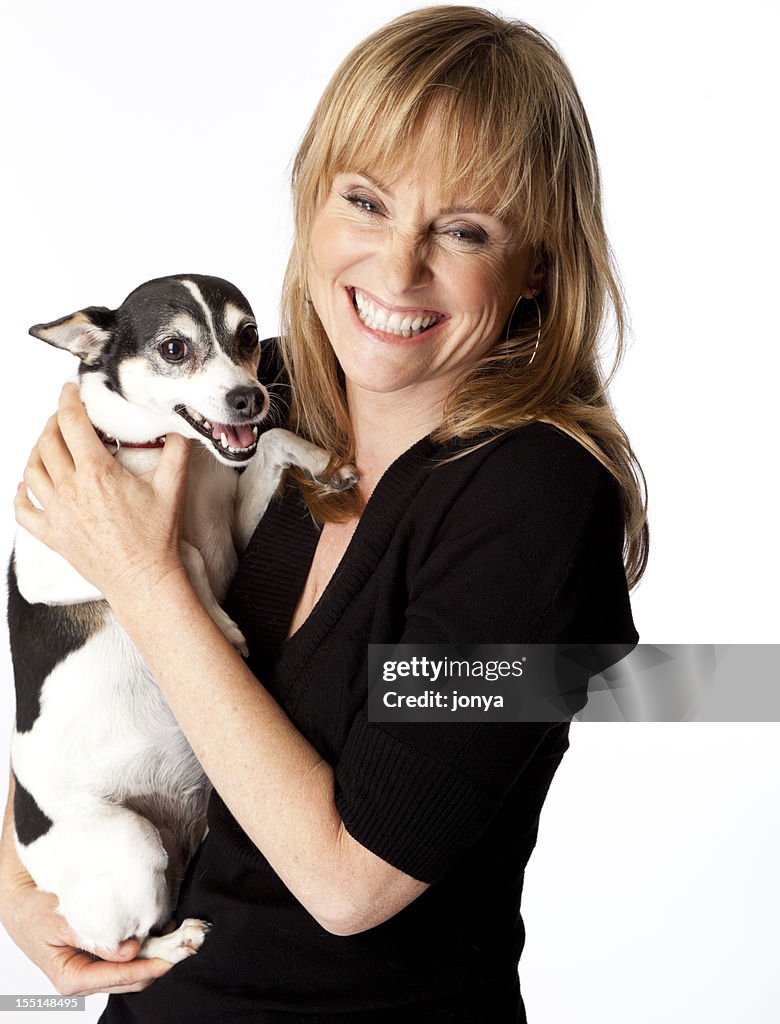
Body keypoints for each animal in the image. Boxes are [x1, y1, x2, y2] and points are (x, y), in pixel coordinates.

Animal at [8, 272, 356, 958]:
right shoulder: (49, 567)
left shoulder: (239, 541)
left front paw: (324, 463)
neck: (175, 455)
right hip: (129, 844)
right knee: (120, 946)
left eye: (247, 335)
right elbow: (180, 549)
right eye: (174, 348)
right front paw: (222, 626)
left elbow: (271, 449)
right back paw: (175, 944)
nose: (250, 397)